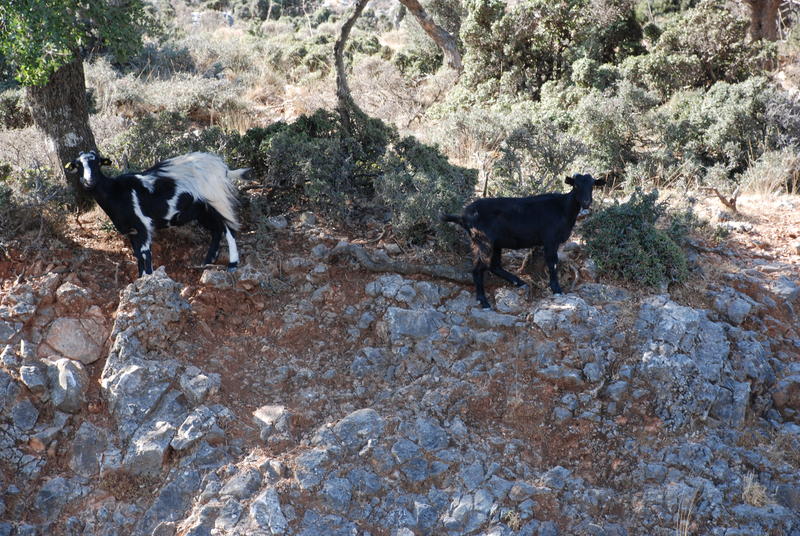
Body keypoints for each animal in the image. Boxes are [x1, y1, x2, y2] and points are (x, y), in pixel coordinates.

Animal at [66, 151, 247, 277]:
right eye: (78, 165)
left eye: (97, 163)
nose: (89, 181)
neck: (116, 192)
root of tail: (223, 168)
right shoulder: (132, 231)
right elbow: (137, 254)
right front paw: (140, 278)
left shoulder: (143, 225)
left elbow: (145, 253)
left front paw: (148, 277)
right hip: (201, 210)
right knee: (217, 230)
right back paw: (207, 262)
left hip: (218, 200)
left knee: (230, 228)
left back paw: (232, 264)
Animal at [442, 173, 606, 309]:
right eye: (576, 185)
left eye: (592, 185)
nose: (586, 202)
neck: (563, 208)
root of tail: (463, 216)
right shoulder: (550, 239)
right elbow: (552, 263)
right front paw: (557, 289)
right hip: (483, 241)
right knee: (478, 269)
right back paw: (484, 301)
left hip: (495, 244)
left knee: (494, 266)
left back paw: (519, 282)